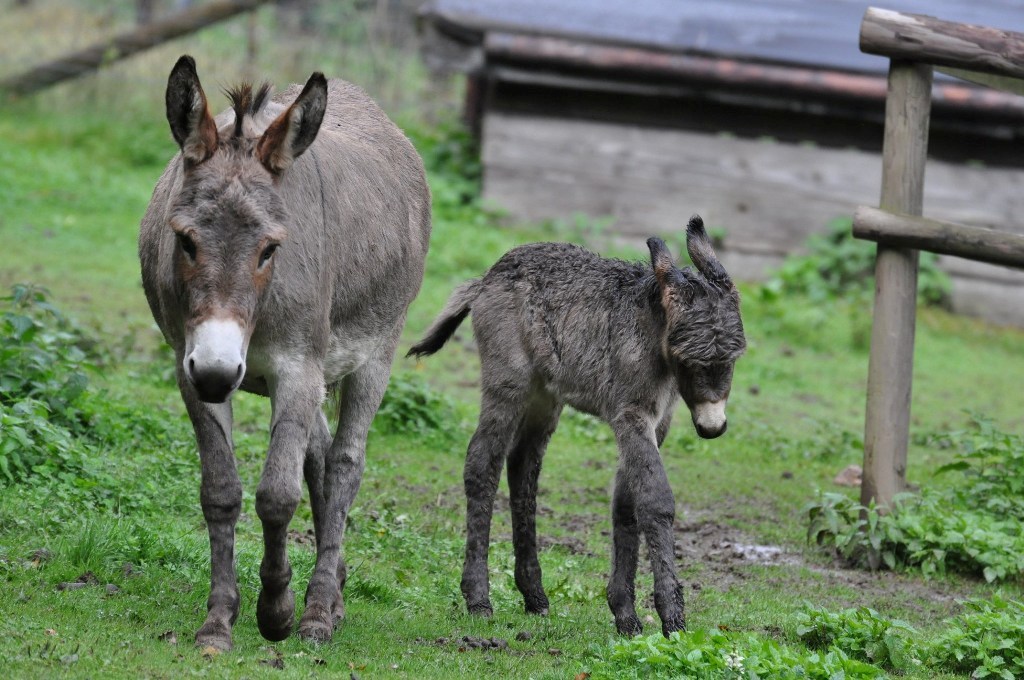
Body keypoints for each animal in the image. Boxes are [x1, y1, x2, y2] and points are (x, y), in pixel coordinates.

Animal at [411, 218, 749, 639]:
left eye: (732, 359)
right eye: (690, 360)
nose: (712, 426)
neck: (653, 331)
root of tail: (487, 276)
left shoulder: (658, 421)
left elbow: (626, 503)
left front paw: (625, 614)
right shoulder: (631, 415)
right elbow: (655, 500)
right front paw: (672, 618)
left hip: (546, 396)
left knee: (522, 467)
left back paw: (534, 594)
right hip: (508, 383)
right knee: (482, 464)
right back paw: (478, 598)